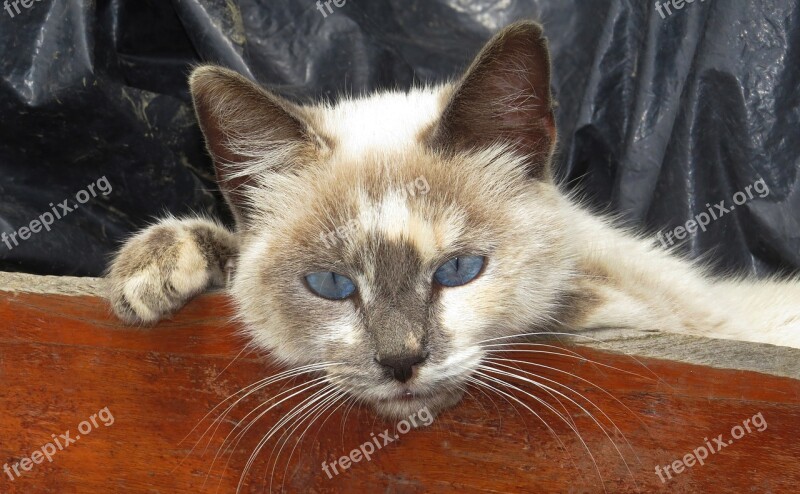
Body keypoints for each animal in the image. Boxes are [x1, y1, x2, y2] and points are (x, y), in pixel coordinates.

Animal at [106, 20, 800, 420]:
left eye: (460, 270)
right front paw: (145, 277)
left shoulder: (668, 313)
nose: (400, 362)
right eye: (331, 285)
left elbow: (564, 291)